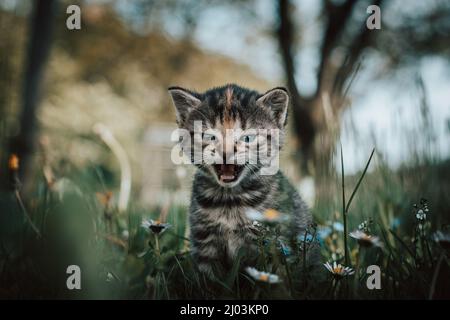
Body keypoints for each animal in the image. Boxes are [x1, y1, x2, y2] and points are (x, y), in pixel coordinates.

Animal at [170, 84, 320, 276]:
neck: (229, 199)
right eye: (210, 137)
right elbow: (208, 278)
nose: (225, 153)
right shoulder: (204, 241)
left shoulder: (272, 243)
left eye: (247, 138)